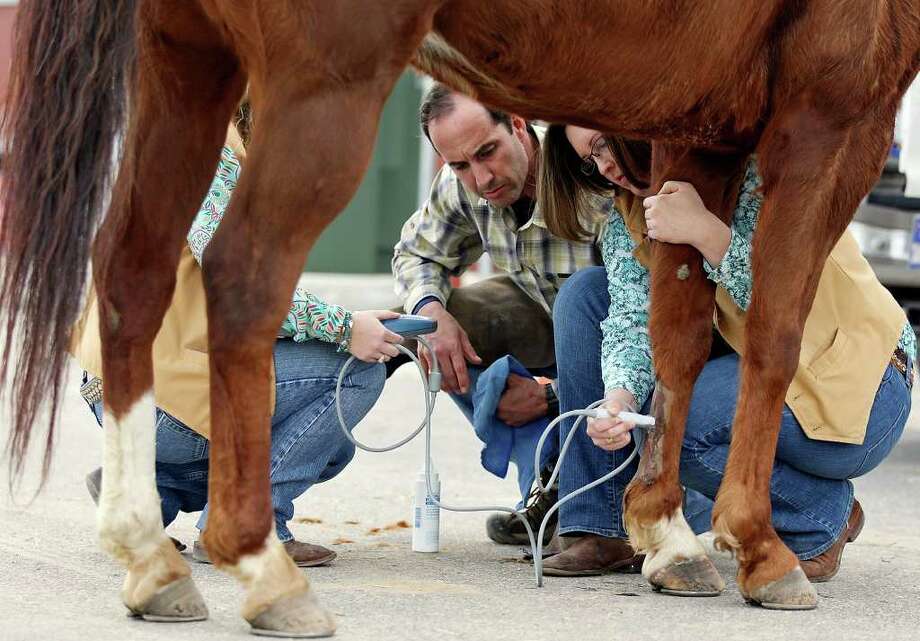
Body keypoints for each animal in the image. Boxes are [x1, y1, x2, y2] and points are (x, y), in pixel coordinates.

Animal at [1, 0, 920, 636]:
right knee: (240, 280)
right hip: (319, 83)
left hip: (185, 59)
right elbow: (775, 331)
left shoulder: (701, 132)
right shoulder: (833, 115)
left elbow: (679, 335)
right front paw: (758, 548)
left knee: (134, 270)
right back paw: (264, 567)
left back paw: (151, 557)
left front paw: (668, 532)